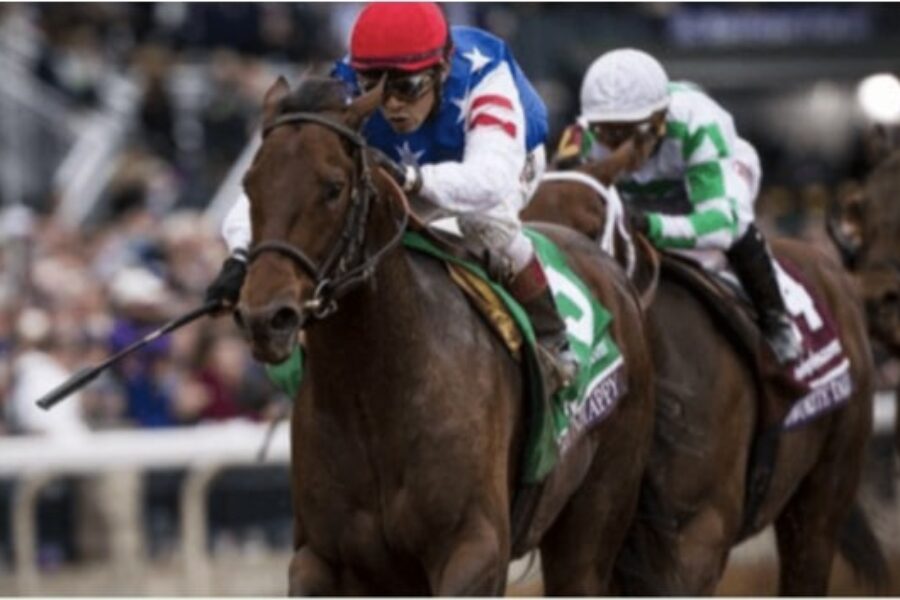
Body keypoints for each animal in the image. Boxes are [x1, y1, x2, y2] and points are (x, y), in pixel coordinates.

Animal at [232, 76, 656, 595]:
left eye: (332, 187)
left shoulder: (476, 548)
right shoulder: (320, 555)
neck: (374, 392)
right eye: (249, 186)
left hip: (595, 516)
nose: (265, 317)